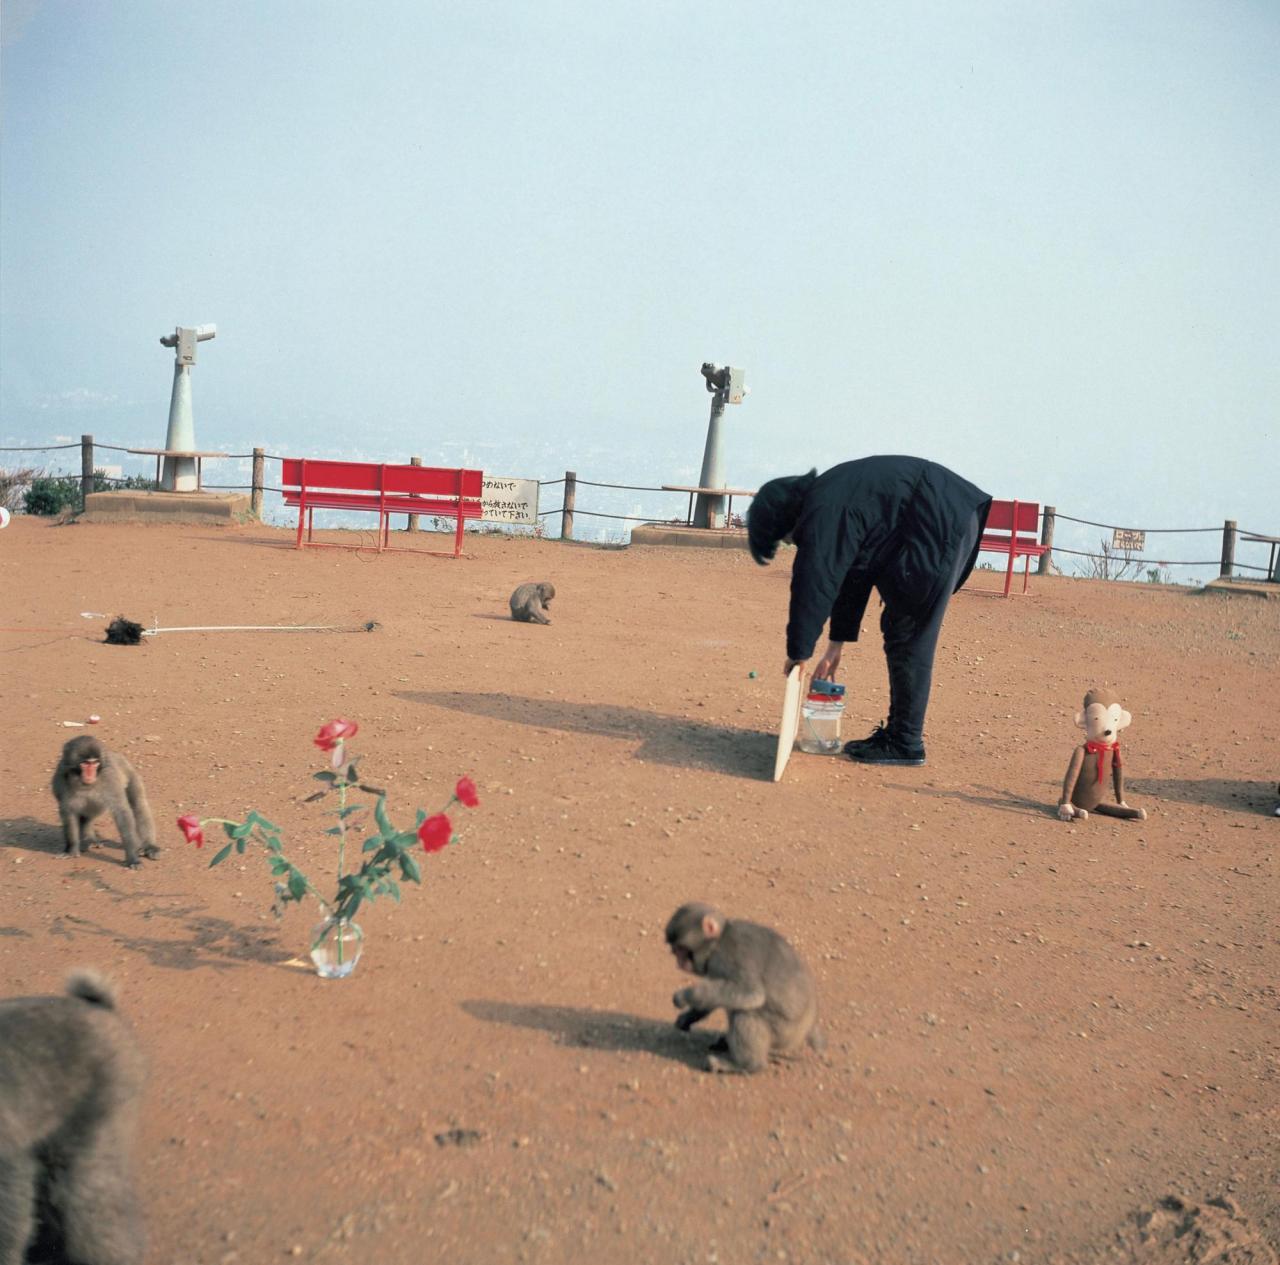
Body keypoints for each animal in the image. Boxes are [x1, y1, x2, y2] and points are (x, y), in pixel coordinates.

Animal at [51, 736, 160, 868]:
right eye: (85, 763)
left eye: (95, 763)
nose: (90, 774)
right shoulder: (61, 779)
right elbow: (68, 811)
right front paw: (71, 849)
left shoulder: (109, 778)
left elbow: (122, 812)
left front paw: (132, 857)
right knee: (88, 812)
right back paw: (88, 838)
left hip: (130, 773)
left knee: (137, 804)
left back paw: (149, 846)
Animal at [665, 902, 824, 1074]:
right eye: (675, 951)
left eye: (681, 950)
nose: (678, 963)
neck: (719, 940)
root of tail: (808, 1025)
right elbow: (712, 998)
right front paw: (688, 1017)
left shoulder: (727, 956)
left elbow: (751, 993)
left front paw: (684, 996)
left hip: (785, 1031)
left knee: (745, 1012)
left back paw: (745, 1065)